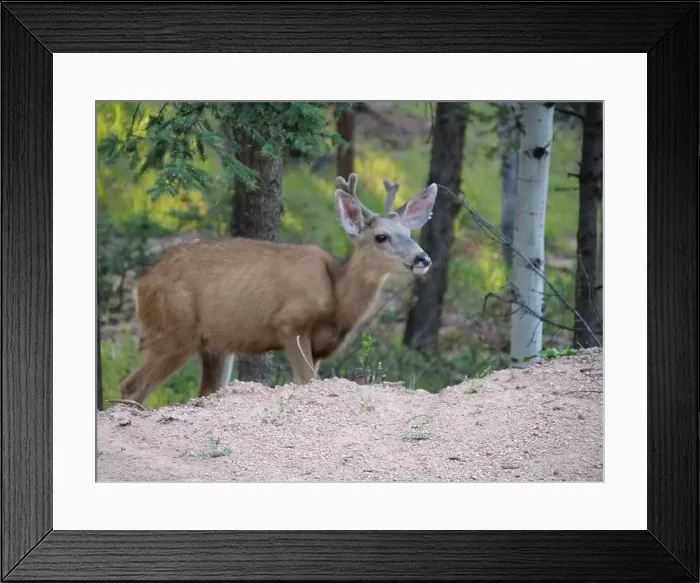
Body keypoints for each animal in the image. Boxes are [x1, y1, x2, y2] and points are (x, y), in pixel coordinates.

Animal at [119, 172, 437, 404]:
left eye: (409, 233)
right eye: (381, 236)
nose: (423, 258)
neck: (337, 299)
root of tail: (142, 285)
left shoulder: (320, 347)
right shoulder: (290, 323)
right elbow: (307, 381)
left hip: (215, 345)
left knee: (204, 392)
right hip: (173, 330)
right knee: (131, 386)